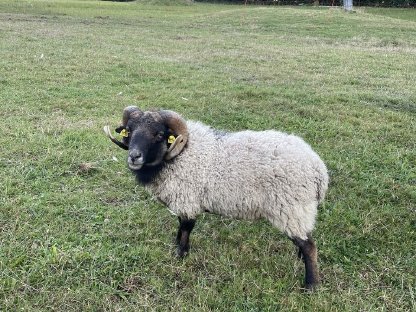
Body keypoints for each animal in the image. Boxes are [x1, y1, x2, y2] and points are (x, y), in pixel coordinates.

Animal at [104, 106, 328, 290]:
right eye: (129, 130)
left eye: (159, 134)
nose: (134, 156)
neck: (179, 154)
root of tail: (318, 169)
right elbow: (179, 226)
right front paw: (176, 245)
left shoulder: (187, 199)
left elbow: (186, 228)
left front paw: (181, 254)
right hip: (298, 211)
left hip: (290, 208)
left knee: (309, 246)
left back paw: (311, 285)